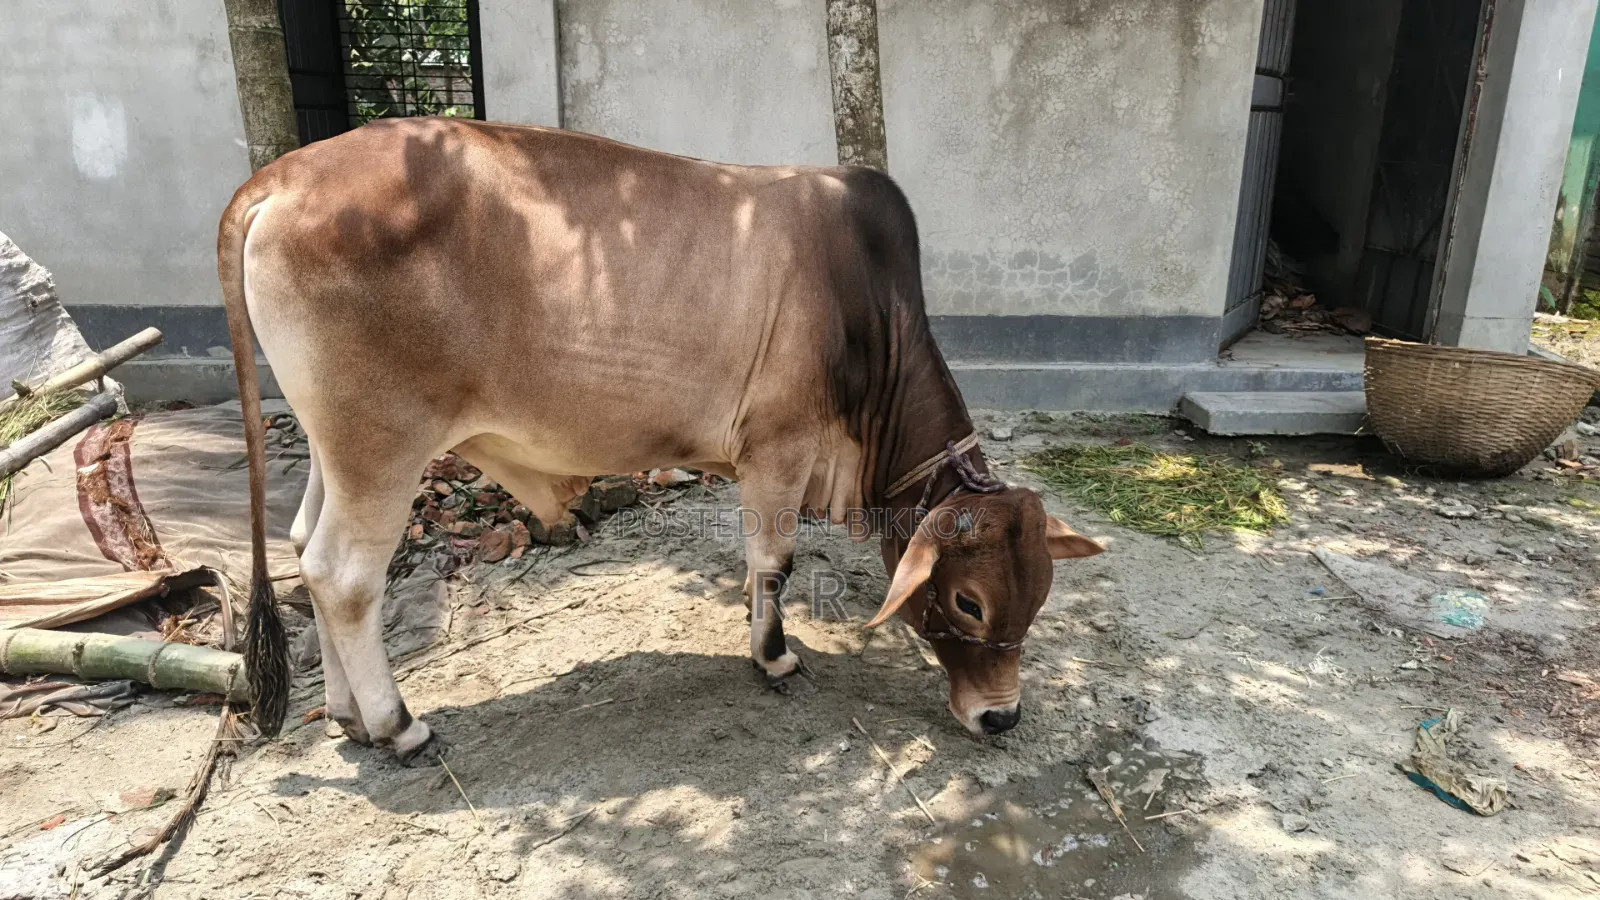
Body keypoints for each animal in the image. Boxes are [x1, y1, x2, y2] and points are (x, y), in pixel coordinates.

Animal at [219, 118, 1104, 765]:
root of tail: (279, 178)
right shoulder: (777, 449)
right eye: (966, 600)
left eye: (1040, 594)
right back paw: (398, 724)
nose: (1001, 718)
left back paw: (345, 713)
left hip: (335, 448)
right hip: (383, 446)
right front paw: (774, 657)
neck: (866, 322)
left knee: (303, 549)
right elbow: (775, 562)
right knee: (345, 576)